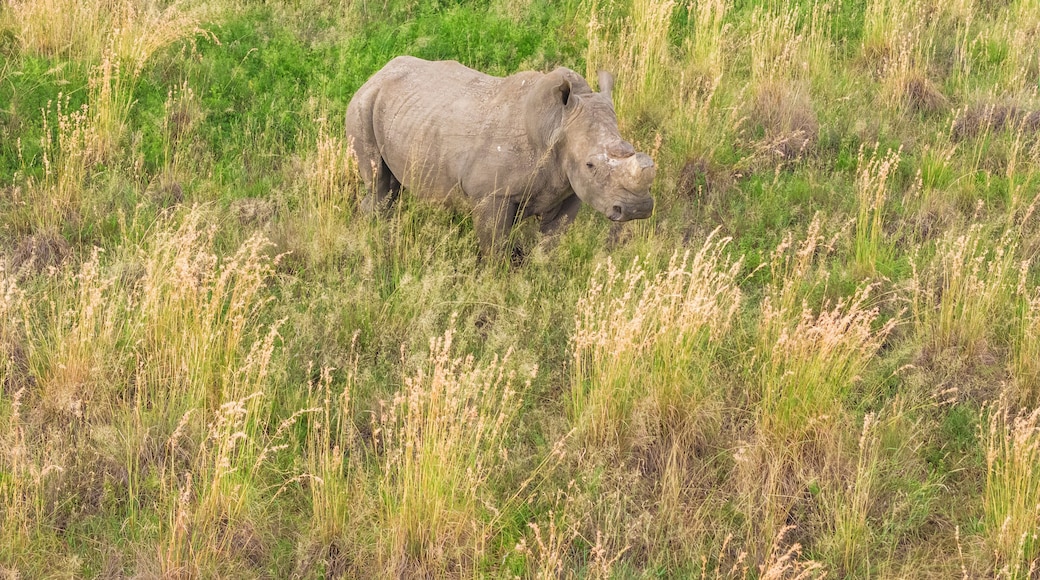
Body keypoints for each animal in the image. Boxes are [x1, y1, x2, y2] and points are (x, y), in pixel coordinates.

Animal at [345, 56, 656, 253]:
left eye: (631, 150)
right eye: (590, 165)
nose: (637, 208)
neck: (556, 124)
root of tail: (378, 73)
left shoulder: (570, 190)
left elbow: (550, 243)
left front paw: (541, 276)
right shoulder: (491, 194)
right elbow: (495, 248)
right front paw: (497, 283)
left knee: (391, 187)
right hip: (362, 104)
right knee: (380, 184)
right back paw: (377, 235)